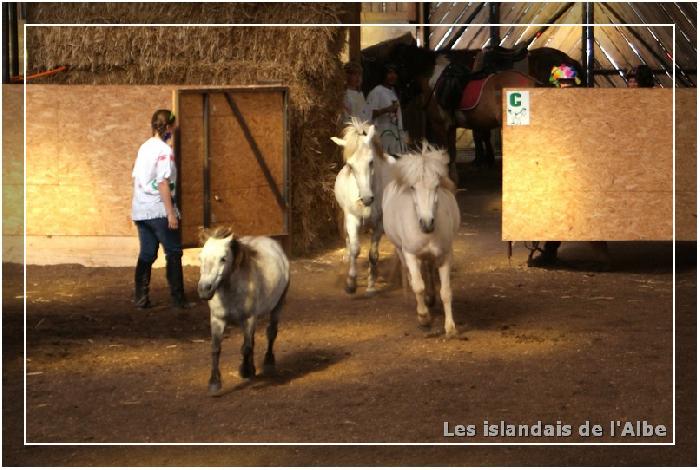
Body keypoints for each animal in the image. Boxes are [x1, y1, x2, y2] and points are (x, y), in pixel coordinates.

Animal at [197, 226, 290, 394]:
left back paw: (268, 363)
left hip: (277, 306)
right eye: (200, 257)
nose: (204, 289)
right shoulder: (217, 319)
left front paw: (245, 371)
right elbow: (216, 348)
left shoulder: (249, 318)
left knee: (271, 333)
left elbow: (245, 348)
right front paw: (214, 383)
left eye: (223, 258)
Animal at [332, 117, 396, 294]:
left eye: (371, 162)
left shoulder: (379, 224)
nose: (366, 199)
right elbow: (355, 249)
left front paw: (371, 285)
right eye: (350, 166)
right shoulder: (352, 219)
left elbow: (373, 255)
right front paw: (351, 282)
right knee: (349, 241)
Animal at [380, 141, 462, 336]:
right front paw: (424, 317)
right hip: (401, 252)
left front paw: (450, 327)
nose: (427, 223)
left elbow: (446, 291)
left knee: (429, 269)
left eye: (437, 186)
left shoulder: (444, 255)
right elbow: (417, 285)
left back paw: (430, 298)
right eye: (412, 188)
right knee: (414, 277)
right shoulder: (410, 254)